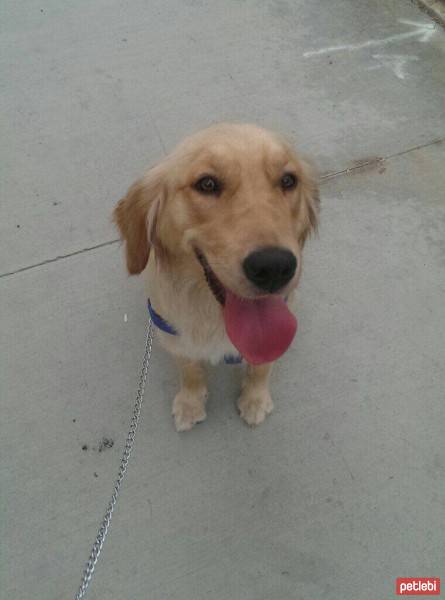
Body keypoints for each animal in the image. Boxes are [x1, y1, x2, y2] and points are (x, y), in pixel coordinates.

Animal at [112, 122, 318, 432]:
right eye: (207, 184)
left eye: (288, 180)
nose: (274, 267)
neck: (214, 315)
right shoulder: (175, 334)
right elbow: (190, 370)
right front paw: (190, 402)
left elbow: (262, 366)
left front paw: (255, 398)